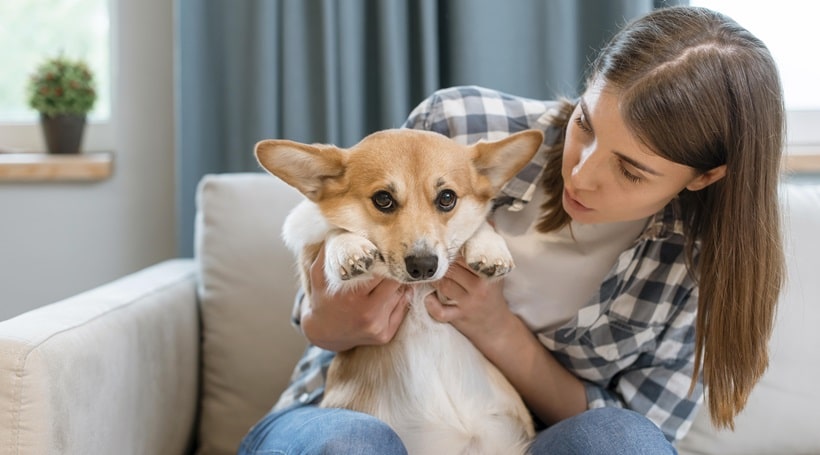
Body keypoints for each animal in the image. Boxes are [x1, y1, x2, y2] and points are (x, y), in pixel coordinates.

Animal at [256, 126, 544, 454]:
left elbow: (480, 225)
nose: (424, 266)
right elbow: (332, 230)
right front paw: (349, 247)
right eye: (383, 199)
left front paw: (489, 248)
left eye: (447, 198)